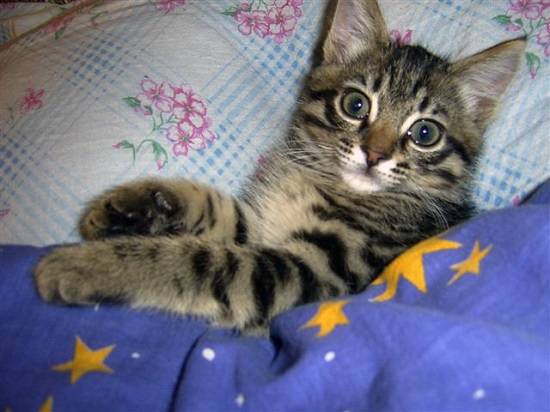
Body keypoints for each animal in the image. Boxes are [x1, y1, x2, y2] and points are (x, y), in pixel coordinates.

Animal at [34, 0, 524, 333]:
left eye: (424, 133)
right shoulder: (259, 227)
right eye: (355, 105)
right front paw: (133, 206)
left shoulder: (313, 272)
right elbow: (216, 207)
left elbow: (200, 261)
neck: (328, 182)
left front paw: (88, 267)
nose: (375, 155)